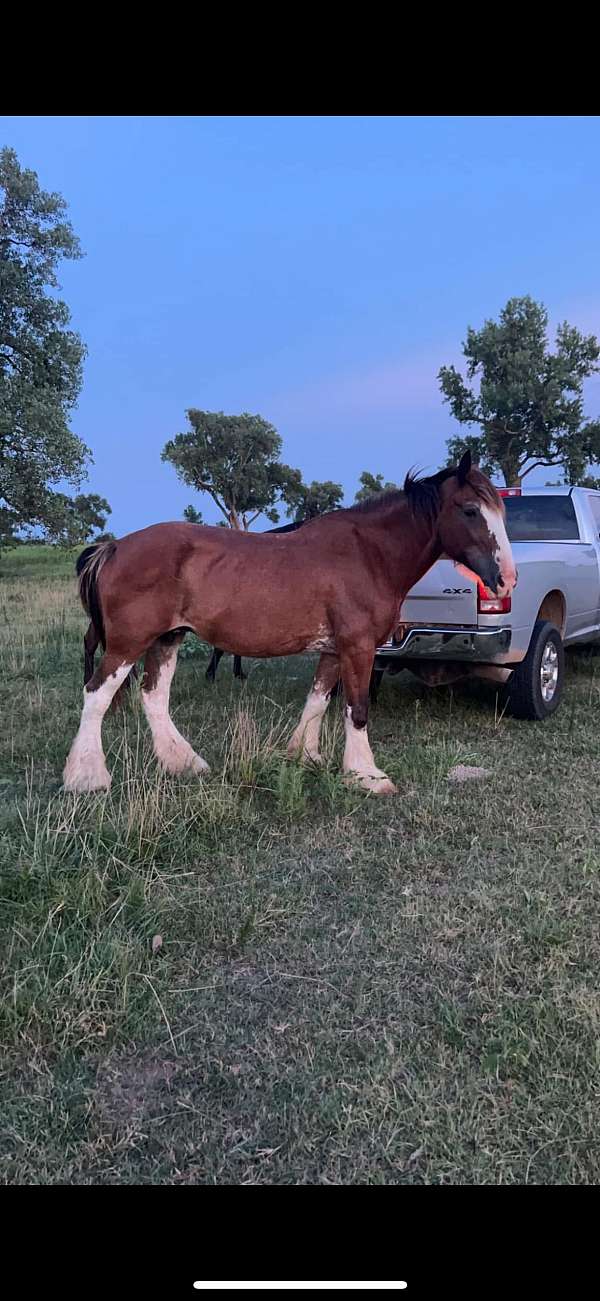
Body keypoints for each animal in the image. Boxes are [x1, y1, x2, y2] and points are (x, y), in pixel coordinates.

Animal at [63, 452, 516, 797]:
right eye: (471, 510)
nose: (506, 578)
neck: (369, 554)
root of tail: (114, 546)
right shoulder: (358, 646)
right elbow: (357, 709)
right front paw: (366, 775)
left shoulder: (333, 649)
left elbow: (317, 702)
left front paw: (305, 756)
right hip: (129, 643)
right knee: (96, 695)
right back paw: (87, 777)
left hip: (167, 638)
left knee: (154, 697)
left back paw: (183, 763)